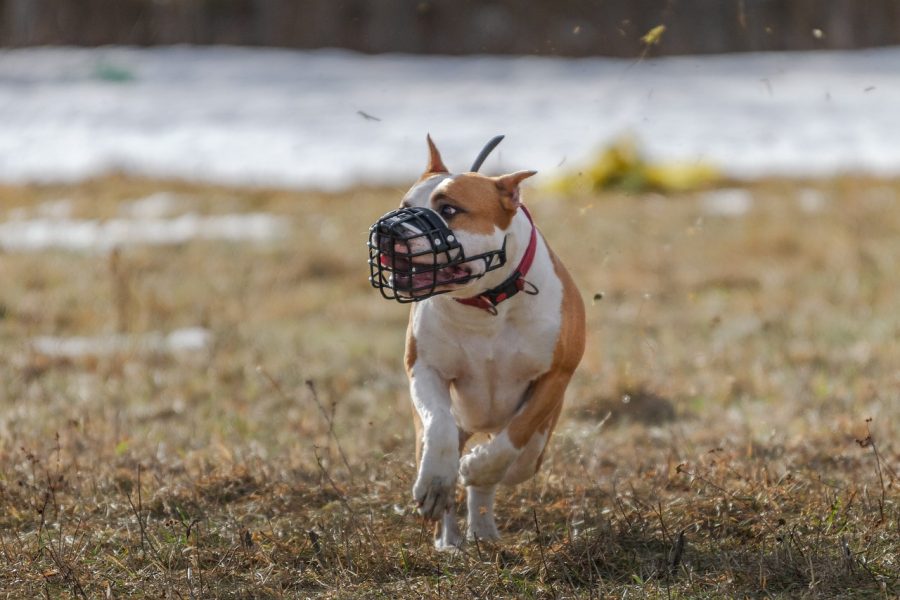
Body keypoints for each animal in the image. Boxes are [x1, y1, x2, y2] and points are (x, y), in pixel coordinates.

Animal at [370, 136, 588, 548]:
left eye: (450, 209)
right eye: (404, 206)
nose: (387, 231)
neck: (486, 304)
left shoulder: (555, 376)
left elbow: (515, 436)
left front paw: (480, 467)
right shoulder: (426, 369)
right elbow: (438, 423)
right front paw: (437, 481)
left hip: (537, 438)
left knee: (514, 464)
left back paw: (483, 527)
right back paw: (449, 538)